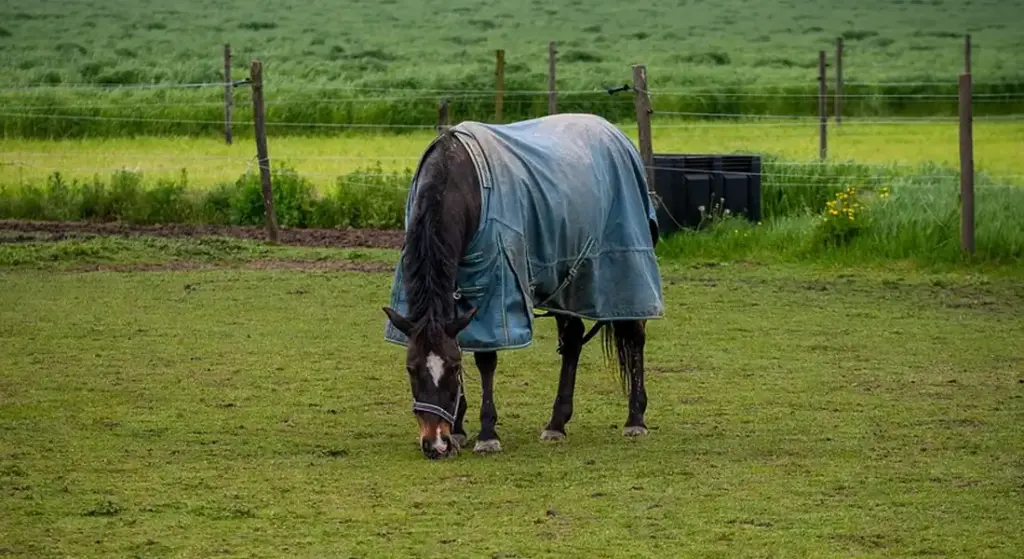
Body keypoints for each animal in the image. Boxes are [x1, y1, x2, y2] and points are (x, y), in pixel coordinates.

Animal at [382, 113, 665, 460]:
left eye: (452, 368)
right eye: (411, 368)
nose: (436, 444)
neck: (461, 183)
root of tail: (617, 135)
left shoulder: (494, 285)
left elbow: (486, 359)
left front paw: (487, 434)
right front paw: (459, 428)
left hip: (624, 268)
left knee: (635, 334)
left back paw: (635, 418)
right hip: (563, 280)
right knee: (573, 340)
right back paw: (556, 424)